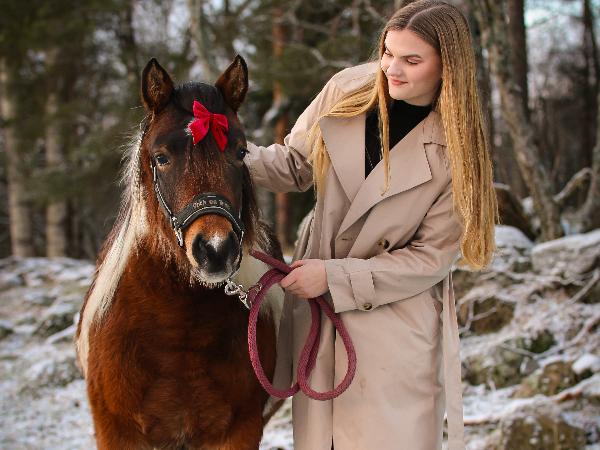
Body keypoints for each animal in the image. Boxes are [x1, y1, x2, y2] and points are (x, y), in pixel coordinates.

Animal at [75, 56, 285, 450]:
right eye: (161, 157)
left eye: (240, 152)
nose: (215, 249)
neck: (176, 327)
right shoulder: (117, 431)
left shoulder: (239, 430)